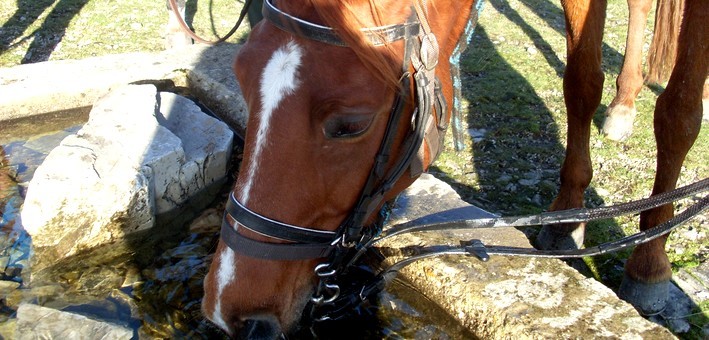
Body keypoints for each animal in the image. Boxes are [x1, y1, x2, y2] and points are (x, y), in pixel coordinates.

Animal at [201, 0, 708, 336]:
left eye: (351, 125)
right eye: (241, 77)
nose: (228, 309)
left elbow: (679, 112)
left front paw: (649, 263)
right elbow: (581, 81)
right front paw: (566, 217)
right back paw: (623, 102)